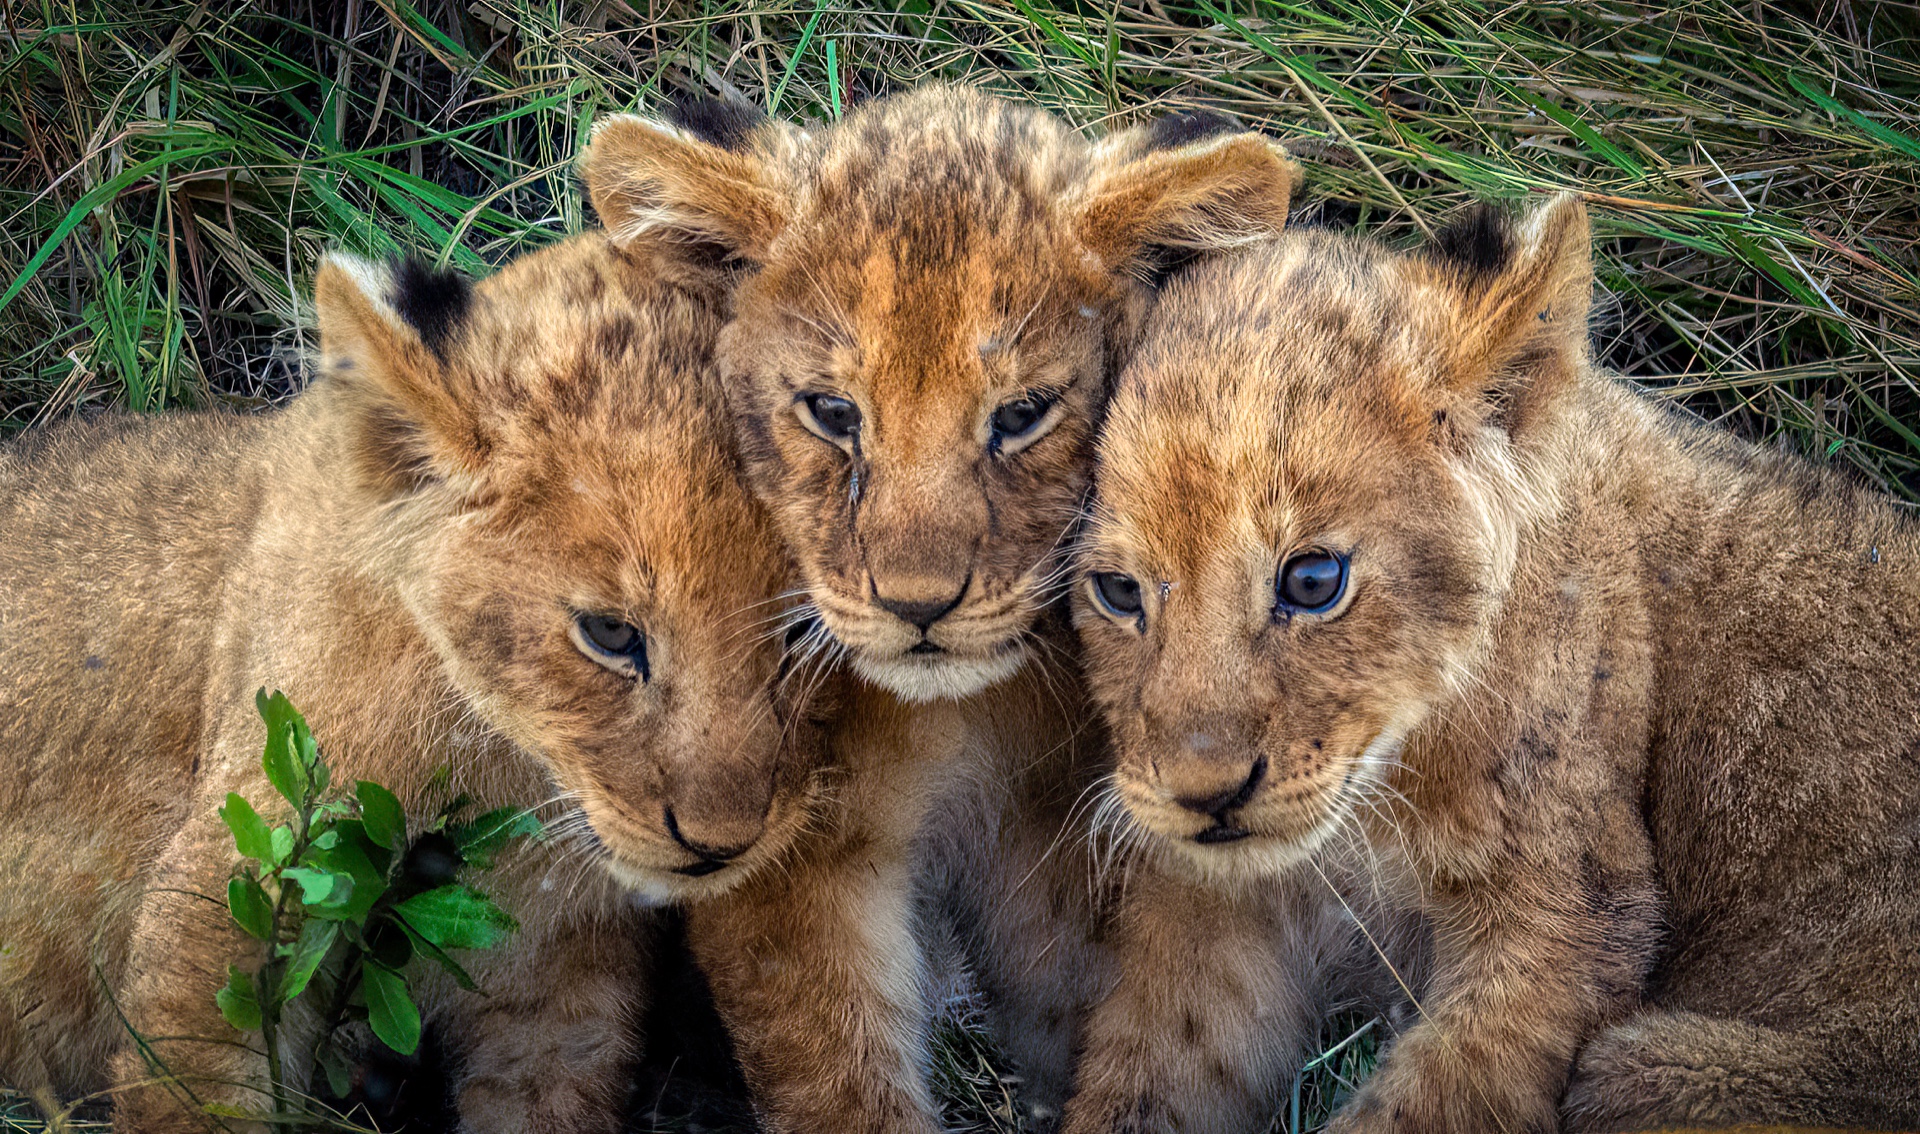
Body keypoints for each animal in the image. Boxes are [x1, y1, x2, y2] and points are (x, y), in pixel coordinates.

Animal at [0, 222, 832, 1131]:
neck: (509, 768)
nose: (723, 846)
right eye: (611, 633)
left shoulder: (556, 992)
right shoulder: (221, 916)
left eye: (807, 625)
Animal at [581, 85, 1301, 1130]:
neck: (965, 715)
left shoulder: (1067, 834)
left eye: (1023, 414)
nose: (918, 606)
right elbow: (838, 1076)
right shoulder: (796, 854)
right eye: (833, 413)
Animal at [1067, 194, 1920, 1132]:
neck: (1374, 804)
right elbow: (1140, 1082)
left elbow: (1422, 1105)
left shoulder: (1572, 918)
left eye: (1313, 580)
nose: (1205, 797)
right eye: (1117, 591)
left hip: (1647, 1065)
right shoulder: (1216, 908)